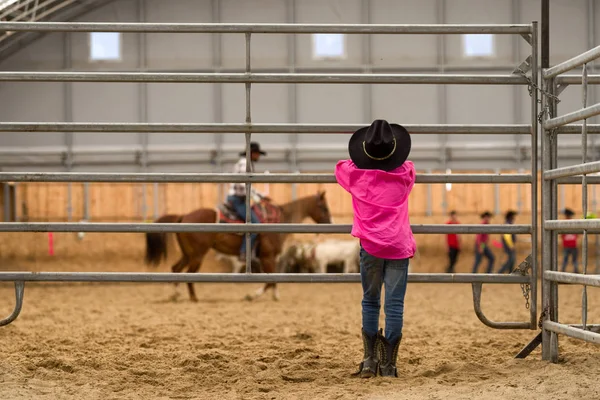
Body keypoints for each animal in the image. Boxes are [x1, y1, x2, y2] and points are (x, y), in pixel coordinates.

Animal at [144, 192, 332, 302]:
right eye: (323, 207)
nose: (330, 223)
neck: (280, 221)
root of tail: (183, 216)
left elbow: (272, 279)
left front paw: (274, 295)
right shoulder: (267, 257)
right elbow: (270, 280)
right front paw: (253, 295)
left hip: (188, 254)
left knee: (176, 268)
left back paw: (176, 294)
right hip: (197, 255)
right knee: (189, 273)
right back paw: (193, 297)